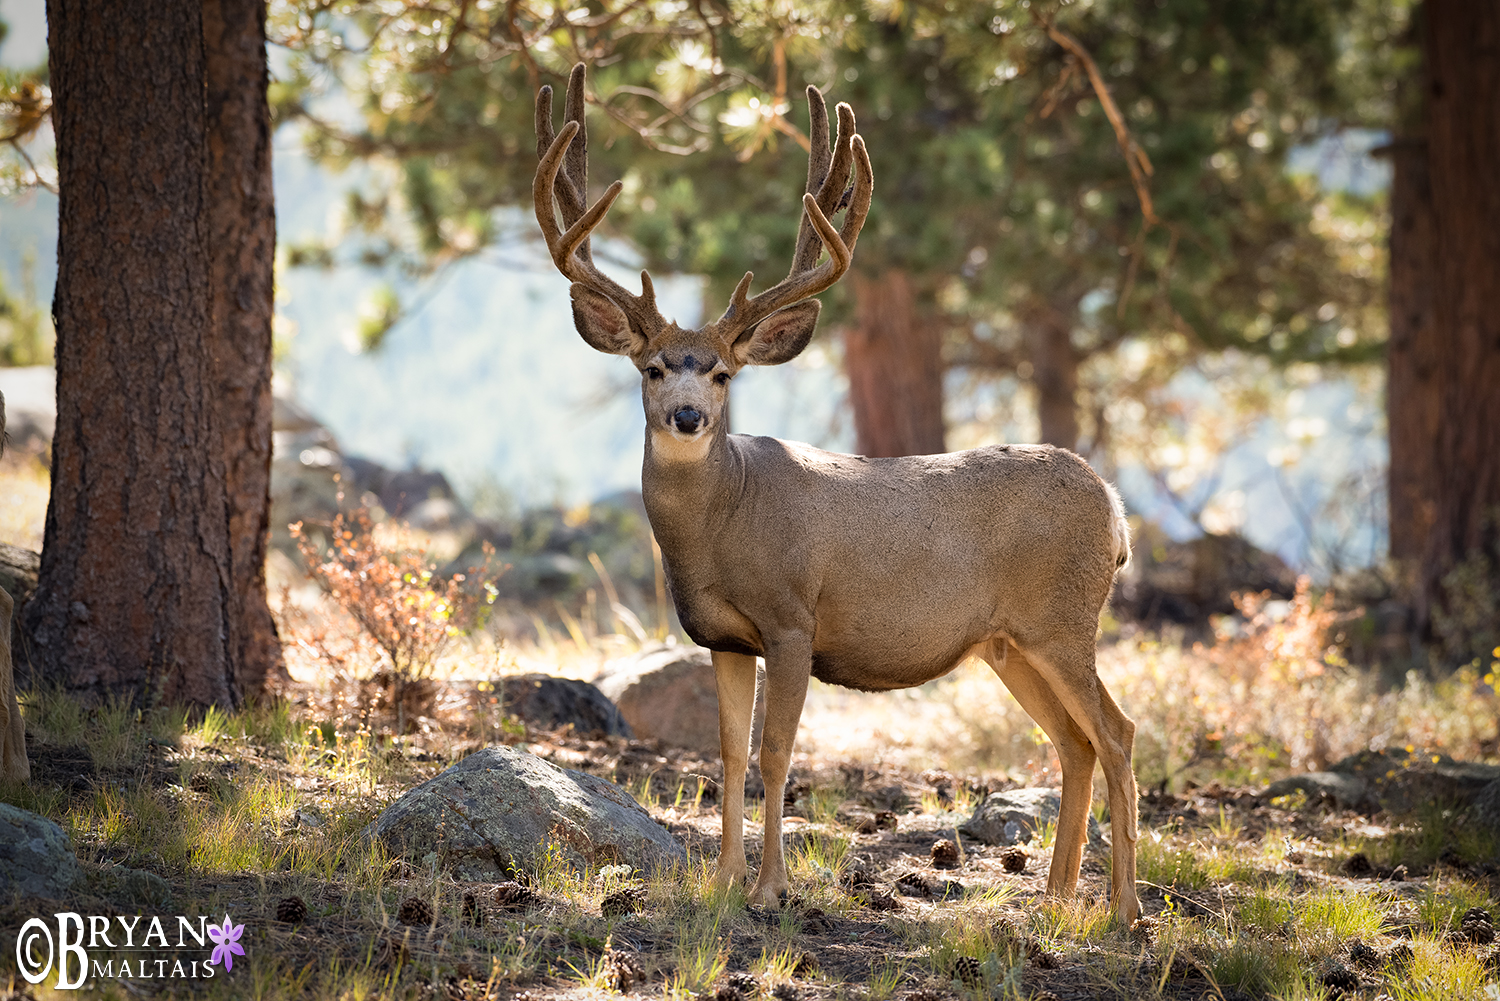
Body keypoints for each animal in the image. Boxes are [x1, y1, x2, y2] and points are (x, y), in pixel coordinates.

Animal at [537, 62, 1134, 924]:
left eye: (723, 372)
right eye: (652, 368)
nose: (687, 415)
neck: (726, 522)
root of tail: (1117, 511)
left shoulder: (793, 619)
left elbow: (775, 751)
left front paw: (769, 886)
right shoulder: (724, 637)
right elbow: (727, 750)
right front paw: (722, 879)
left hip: (1064, 618)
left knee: (1118, 733)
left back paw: (1123, 908)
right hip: (1010, 640)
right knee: (1075, 741)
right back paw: (1054, 901)